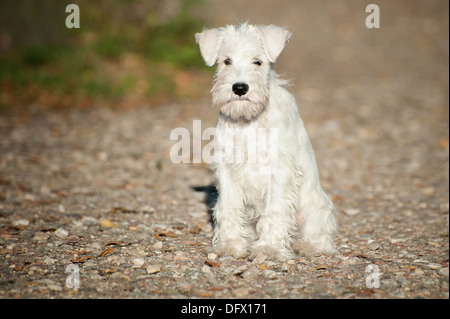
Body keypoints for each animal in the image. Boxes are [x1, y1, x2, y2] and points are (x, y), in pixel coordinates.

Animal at [195, 23, 336, 262]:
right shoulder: (227, 170)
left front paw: (269, 249)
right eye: (226, 61)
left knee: (320, 237)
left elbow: (275, 211)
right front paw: (230, 245)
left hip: (316, 210)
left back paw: (305, 246)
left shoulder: (278, 171)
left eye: (258, 61)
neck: (248, 121)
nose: (239, 88)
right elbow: (228, 208)